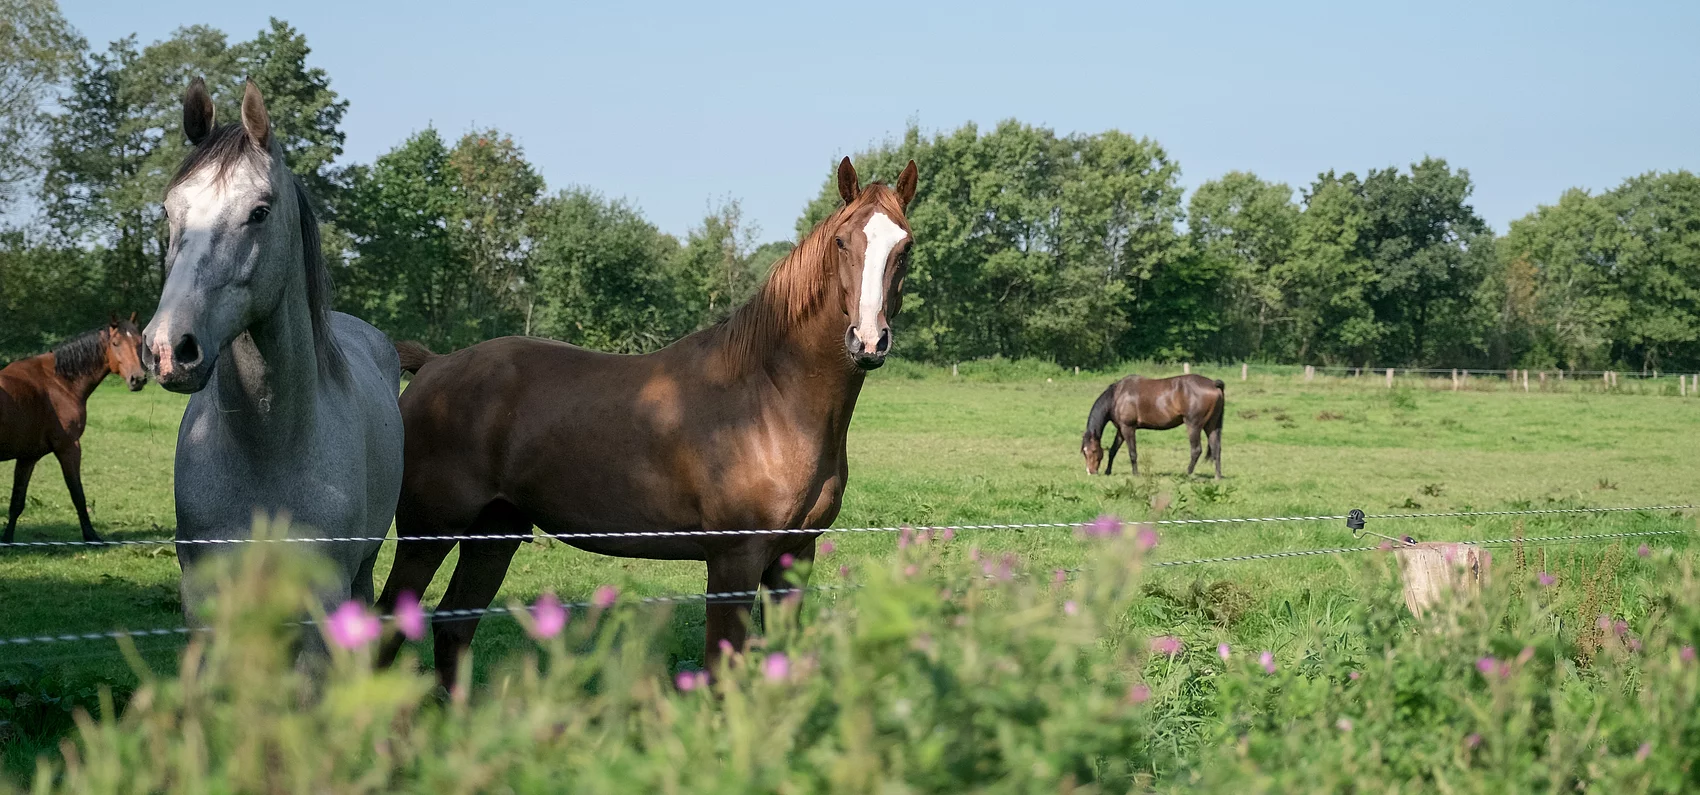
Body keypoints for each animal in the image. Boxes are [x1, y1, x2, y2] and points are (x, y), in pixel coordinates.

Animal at [1, 315, 149, 544]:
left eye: (139, 343)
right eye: (115, 343)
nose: (138, 379)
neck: (57, 382)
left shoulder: (27, 457)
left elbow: (16, 501)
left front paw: (7, 539)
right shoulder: (69, 447)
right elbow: (77, 494)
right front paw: (91, 536)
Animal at [143, 79, 404, 635]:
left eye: (259, 211)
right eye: (169, 211)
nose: (168, 348)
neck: (268, 448)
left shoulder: (323, 597)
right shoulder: (204, 597)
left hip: (363, 570)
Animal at [375, 157, 918, 686]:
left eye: (905, 246)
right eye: (843, 241)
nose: (868, 341)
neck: (770, 399)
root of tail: (433, 365)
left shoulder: (795, 557)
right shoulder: (734, 560)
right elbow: (721, 672)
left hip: (493, 538)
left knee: (453, 628)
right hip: (426, 538)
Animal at [1082, 373, 1225, 479]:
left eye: (1093, 450)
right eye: (1084, 452)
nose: (1090, 472)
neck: (1117, 396)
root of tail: (1213, 384)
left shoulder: (1128, 428)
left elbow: (1132, 452)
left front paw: (1136, 474)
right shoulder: (1121, 430)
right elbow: (1112, 451)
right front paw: (1108, 471)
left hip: (1193, 425)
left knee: (1196, 450)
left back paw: (1187, 473)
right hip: (1211, 426)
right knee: (1216, 448)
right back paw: (1217, 476)